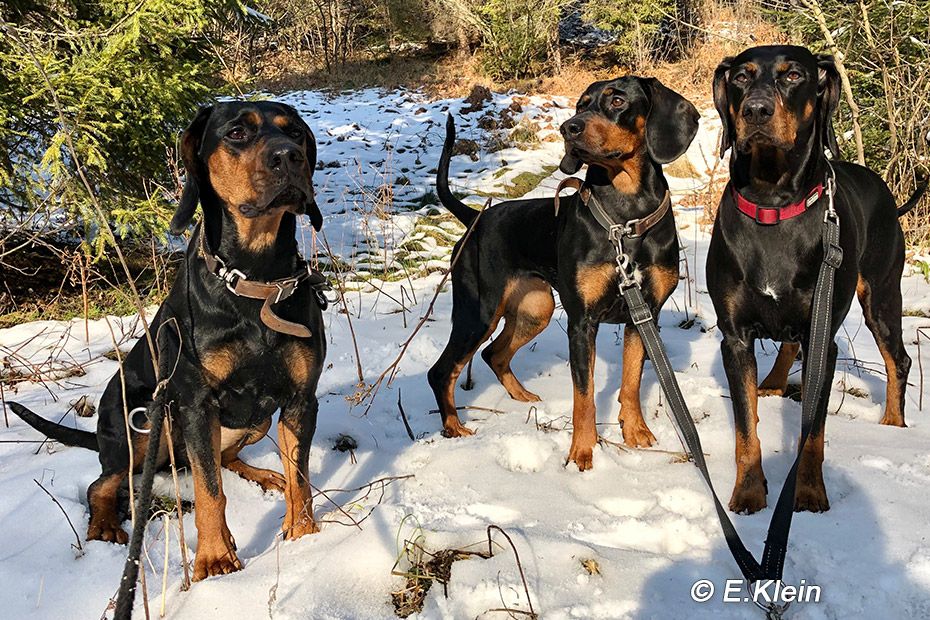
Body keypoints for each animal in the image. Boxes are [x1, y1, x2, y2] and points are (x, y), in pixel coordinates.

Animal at [6, 101, 326, 580]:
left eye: (297, 134)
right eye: (236, 132)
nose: (290, 157)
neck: (256, 280)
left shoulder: (300, 399)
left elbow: (299, 476)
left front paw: (305, 536)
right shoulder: (197, 403)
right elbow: (210, 492)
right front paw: (214, 558)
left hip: (255, 420)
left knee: (225, 460)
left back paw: (268, 477)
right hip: (137, 423)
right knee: (104, 482)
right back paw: (104, 526)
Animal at [428, 77, 696, 468]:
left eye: (617, 101)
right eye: (581, 105)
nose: (569, 128)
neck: (626, 218)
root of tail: (474, 218)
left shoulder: (644, 316)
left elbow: (631, 380)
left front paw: (635, 432)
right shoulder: (582, 321)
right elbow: (583, 395)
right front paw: (582, 452)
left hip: (535, 308)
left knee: (493, 354)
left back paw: (521, 397)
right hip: (478, 313)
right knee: (441, 371)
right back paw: (454, 428)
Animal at [708, 44, 924, 512]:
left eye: (793, 75)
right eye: (740, 77)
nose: (755, 110)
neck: (772, 203)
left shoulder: (822, 338)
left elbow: (813, 434)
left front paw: (808, 493)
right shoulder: (734, 338)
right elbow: (745, 430)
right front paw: (749, 491)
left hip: (881, 295)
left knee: (898, 358)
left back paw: (892, 424)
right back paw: (772, 384)